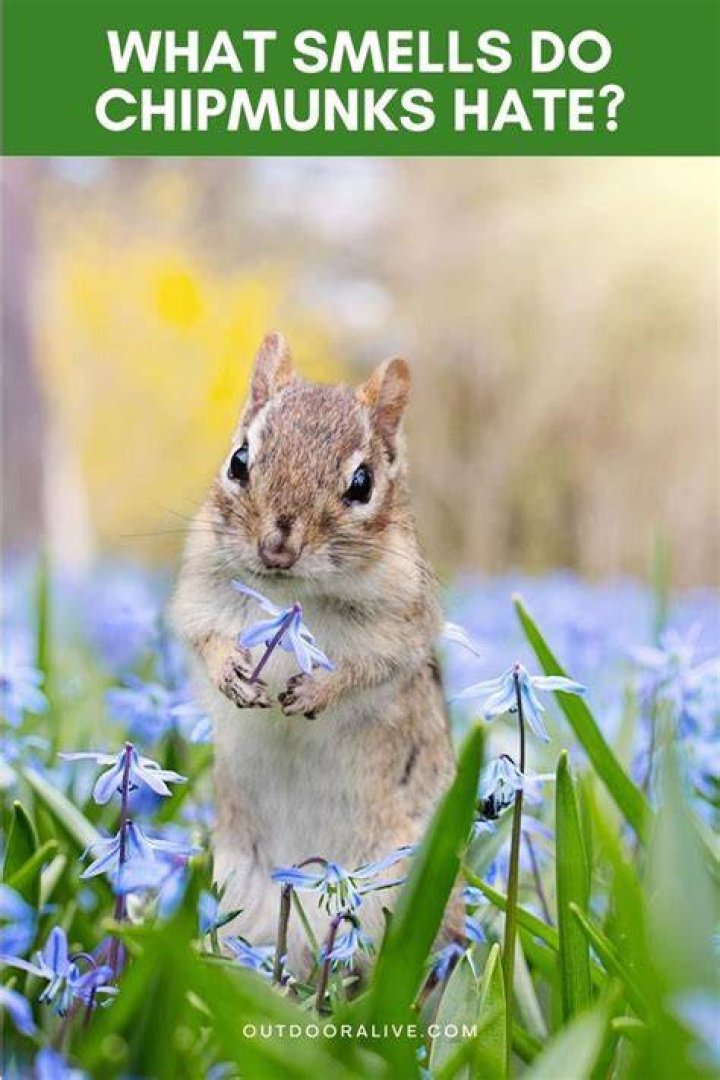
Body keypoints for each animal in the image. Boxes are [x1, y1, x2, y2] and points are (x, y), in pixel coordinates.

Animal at [171, 332, 458, 970]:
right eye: (239, 460)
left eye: (362, 484)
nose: (277, 546)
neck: (288, 593)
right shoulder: (200, 597)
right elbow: (206, 640)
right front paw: (233, 674)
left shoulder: (400, 627)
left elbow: (368, 669)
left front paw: (316, 691)